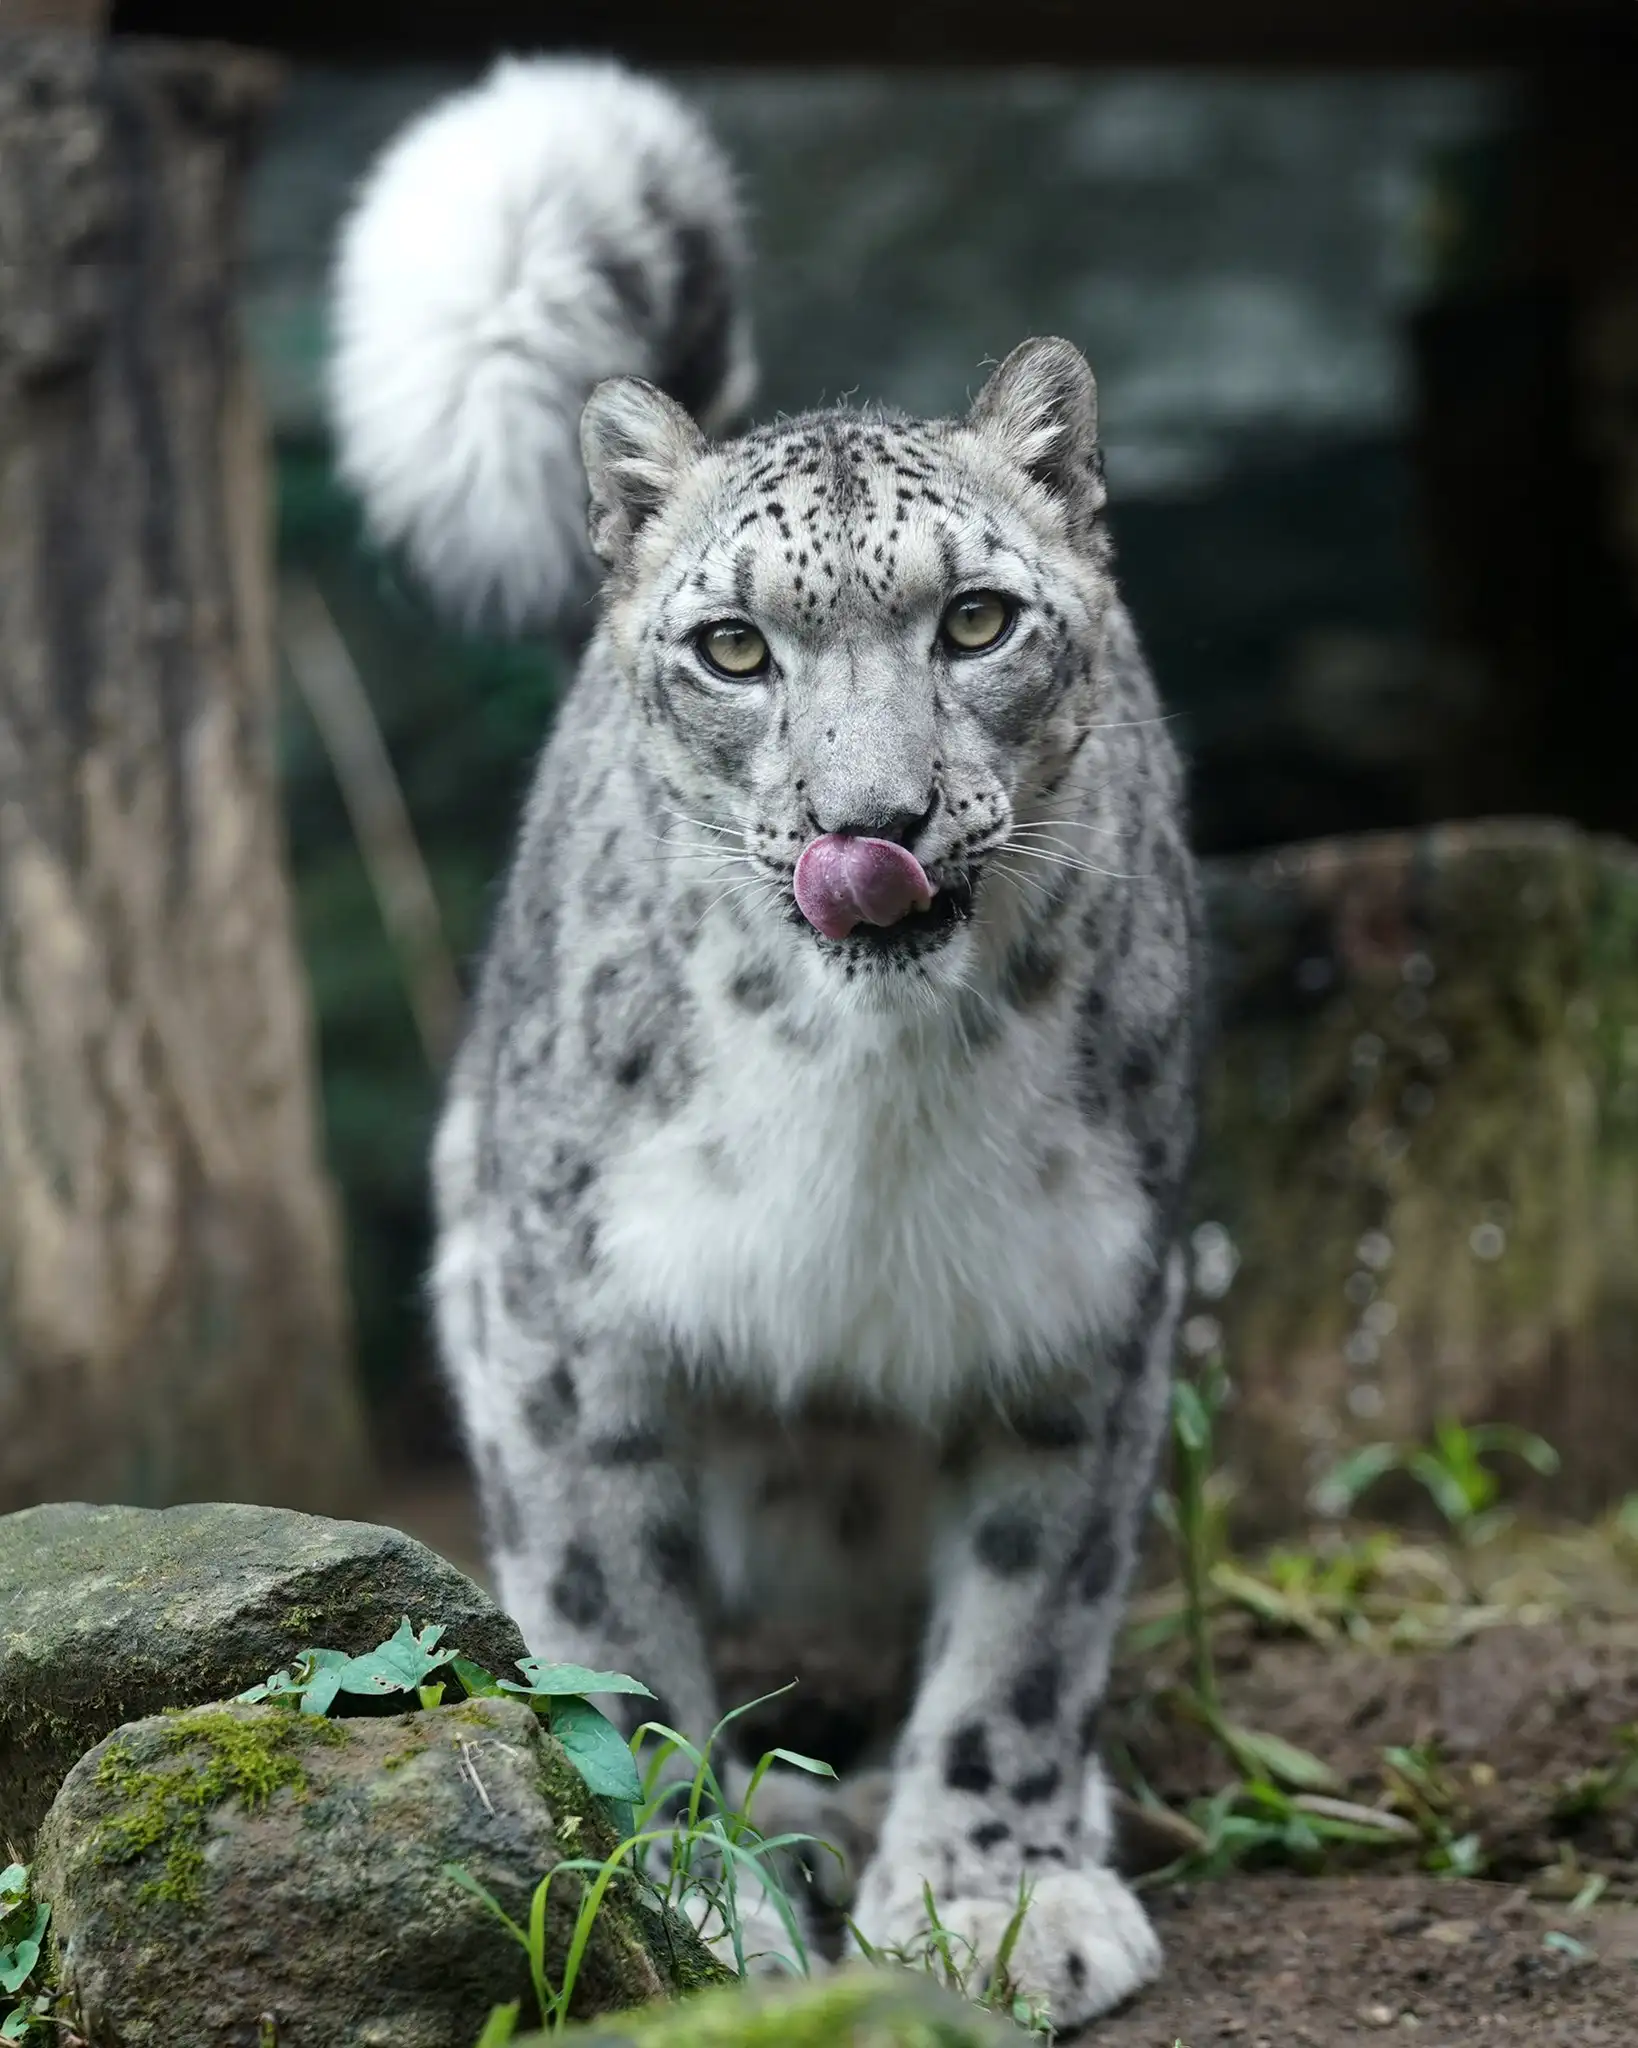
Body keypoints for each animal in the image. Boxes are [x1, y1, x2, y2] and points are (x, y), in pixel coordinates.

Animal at [331, 51, 1203, 2031]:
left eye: (975, 619)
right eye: (733, 647)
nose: (867, 821)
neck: (874, 1091)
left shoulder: (1089, 1303)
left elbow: (1026, 1622)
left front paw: (991, 1902)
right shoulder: (563, 1308)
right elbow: (613, 1633)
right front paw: (685, 1894)